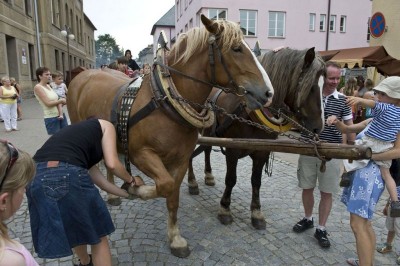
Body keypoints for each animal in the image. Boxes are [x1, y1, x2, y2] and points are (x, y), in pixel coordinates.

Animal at [67, 15, 276, 258]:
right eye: (236, 49)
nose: (269, 93)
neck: (165, 100)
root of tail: (83, 75)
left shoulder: (180, 160)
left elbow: (173, 196)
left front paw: (175, 238)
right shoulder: (141, 154)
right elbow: (164, 185)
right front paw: (136, 188)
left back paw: (112, 194)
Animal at [188, 48, 324, 231]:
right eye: (310, 88)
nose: (319, 127)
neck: (249, 112)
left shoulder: (261, 152)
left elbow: (256, 181)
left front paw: (256, 213)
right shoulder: (232, 151)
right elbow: (231, 179)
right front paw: (225, 209)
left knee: (207, 150)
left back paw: (208, 176)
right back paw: (192, 182)